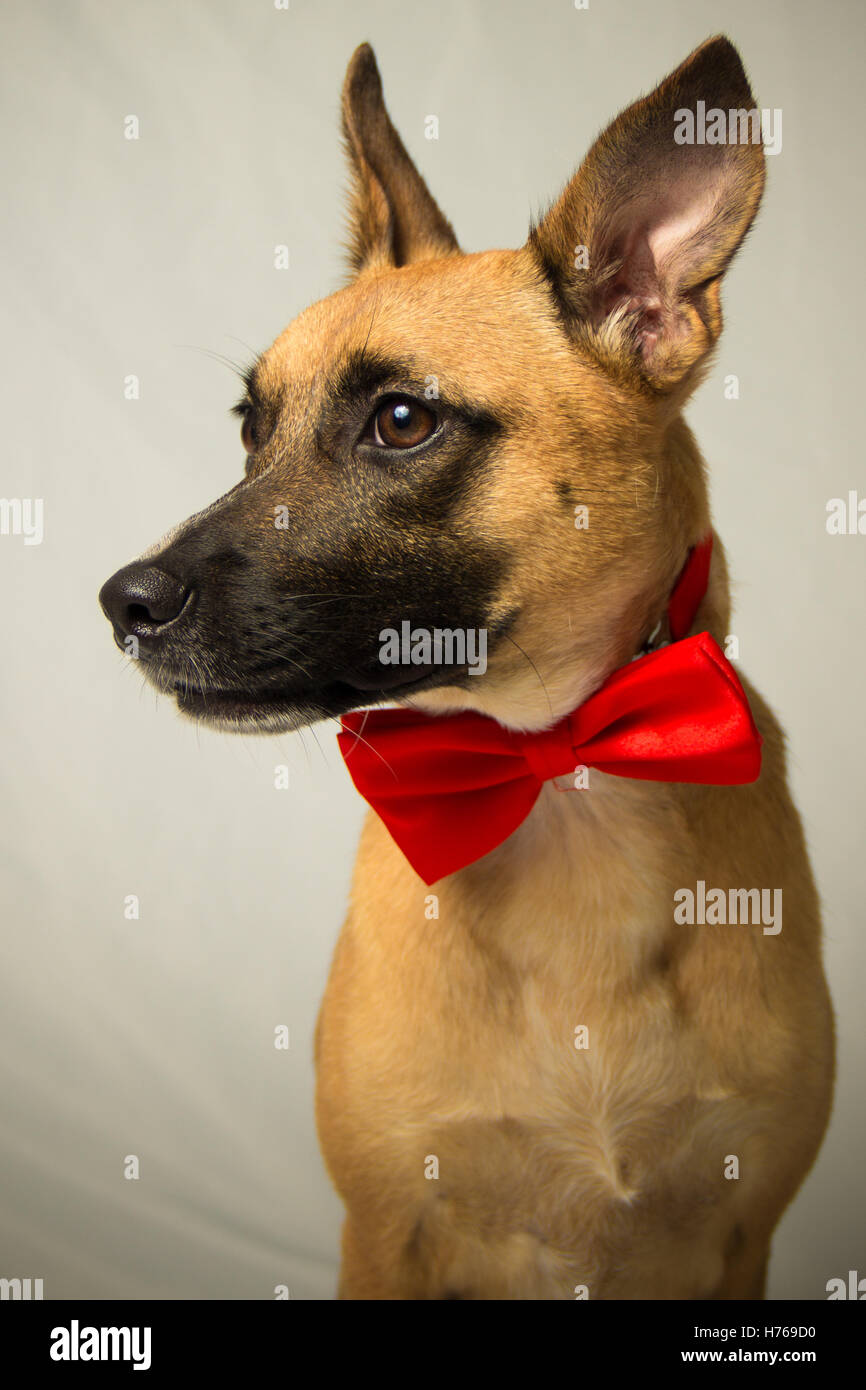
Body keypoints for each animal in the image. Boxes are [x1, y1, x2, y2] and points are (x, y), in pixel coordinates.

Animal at [100, 35, 834, 1301]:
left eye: (401, 422)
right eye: (250, 428)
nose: (123, 604)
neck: (558, 775)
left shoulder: (741, 1235)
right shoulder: (388, 1229)